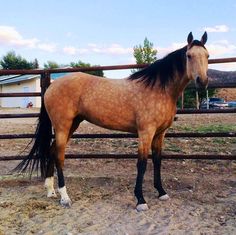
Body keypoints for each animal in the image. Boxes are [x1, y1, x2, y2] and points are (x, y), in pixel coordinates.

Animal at [15, 31, 209, 211]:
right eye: (189, 56)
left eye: (207, 56)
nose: (203, 81)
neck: (159, 89)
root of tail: (51, 86)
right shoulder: (145, 132)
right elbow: (142, 164)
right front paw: (141, 200)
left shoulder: (160, 133)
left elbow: (157, 161)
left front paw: (161, 192)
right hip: (63, 126)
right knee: (59, 156)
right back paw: (65, 197)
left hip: (72, 125)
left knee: (51, 150)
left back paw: (50, 191)